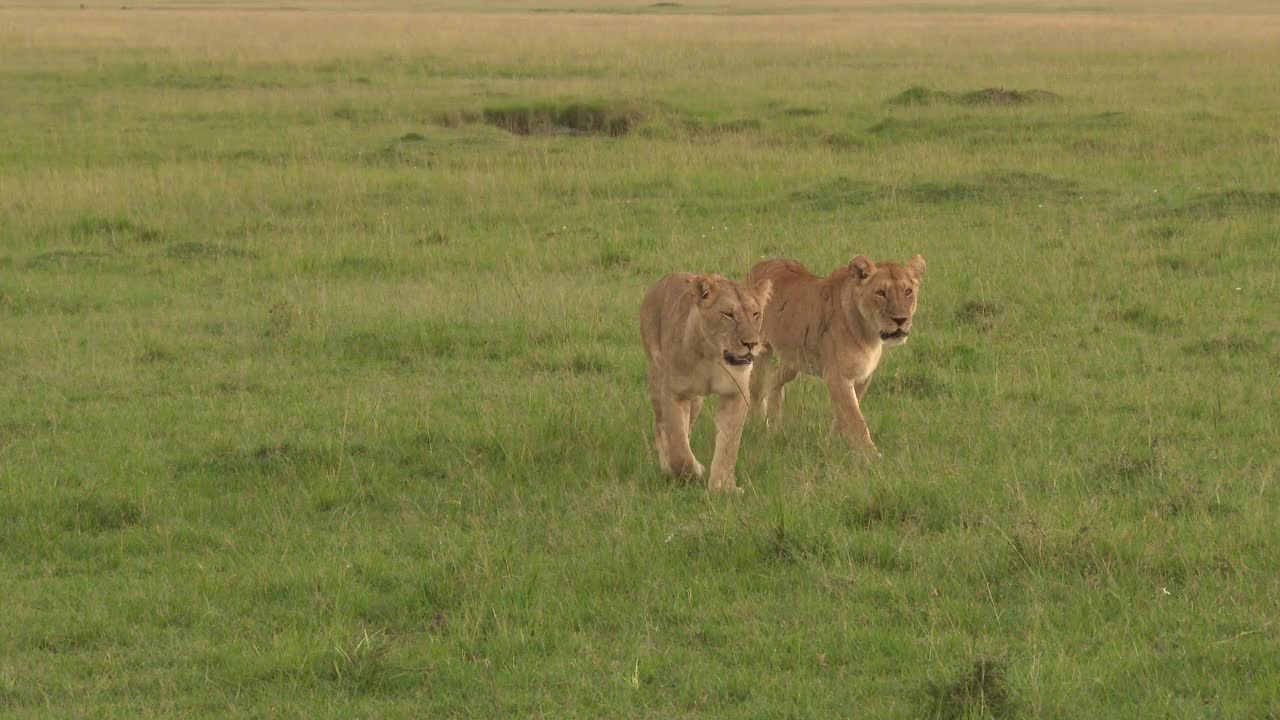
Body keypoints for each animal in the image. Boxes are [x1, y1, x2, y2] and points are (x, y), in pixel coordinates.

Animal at [640, 271, 768, 489]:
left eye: (756, 314)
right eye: (728, 314)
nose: (751, 343)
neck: (712, 356)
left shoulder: (736, 394)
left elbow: (728, 445)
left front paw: (722, 487)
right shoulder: (675, 393)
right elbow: (678, 446)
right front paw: (693, 471)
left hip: (696, 400)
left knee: (687, 428)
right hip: (657, 377)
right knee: (661, 427)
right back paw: (667, 466)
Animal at [747, 254, 926, 450]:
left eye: (908, 291)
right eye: (880, 293)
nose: (901, 319)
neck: (870, 334)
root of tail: (760, 264)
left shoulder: (862, 377)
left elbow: (843, 416)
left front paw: (828, 444)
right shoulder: (837, 376)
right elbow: (855, 419)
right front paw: (872, 455)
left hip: (794, 358)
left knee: (774, 379)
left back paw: (775, 426)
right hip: (761, 350)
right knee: (756, 389)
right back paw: (760, 429)